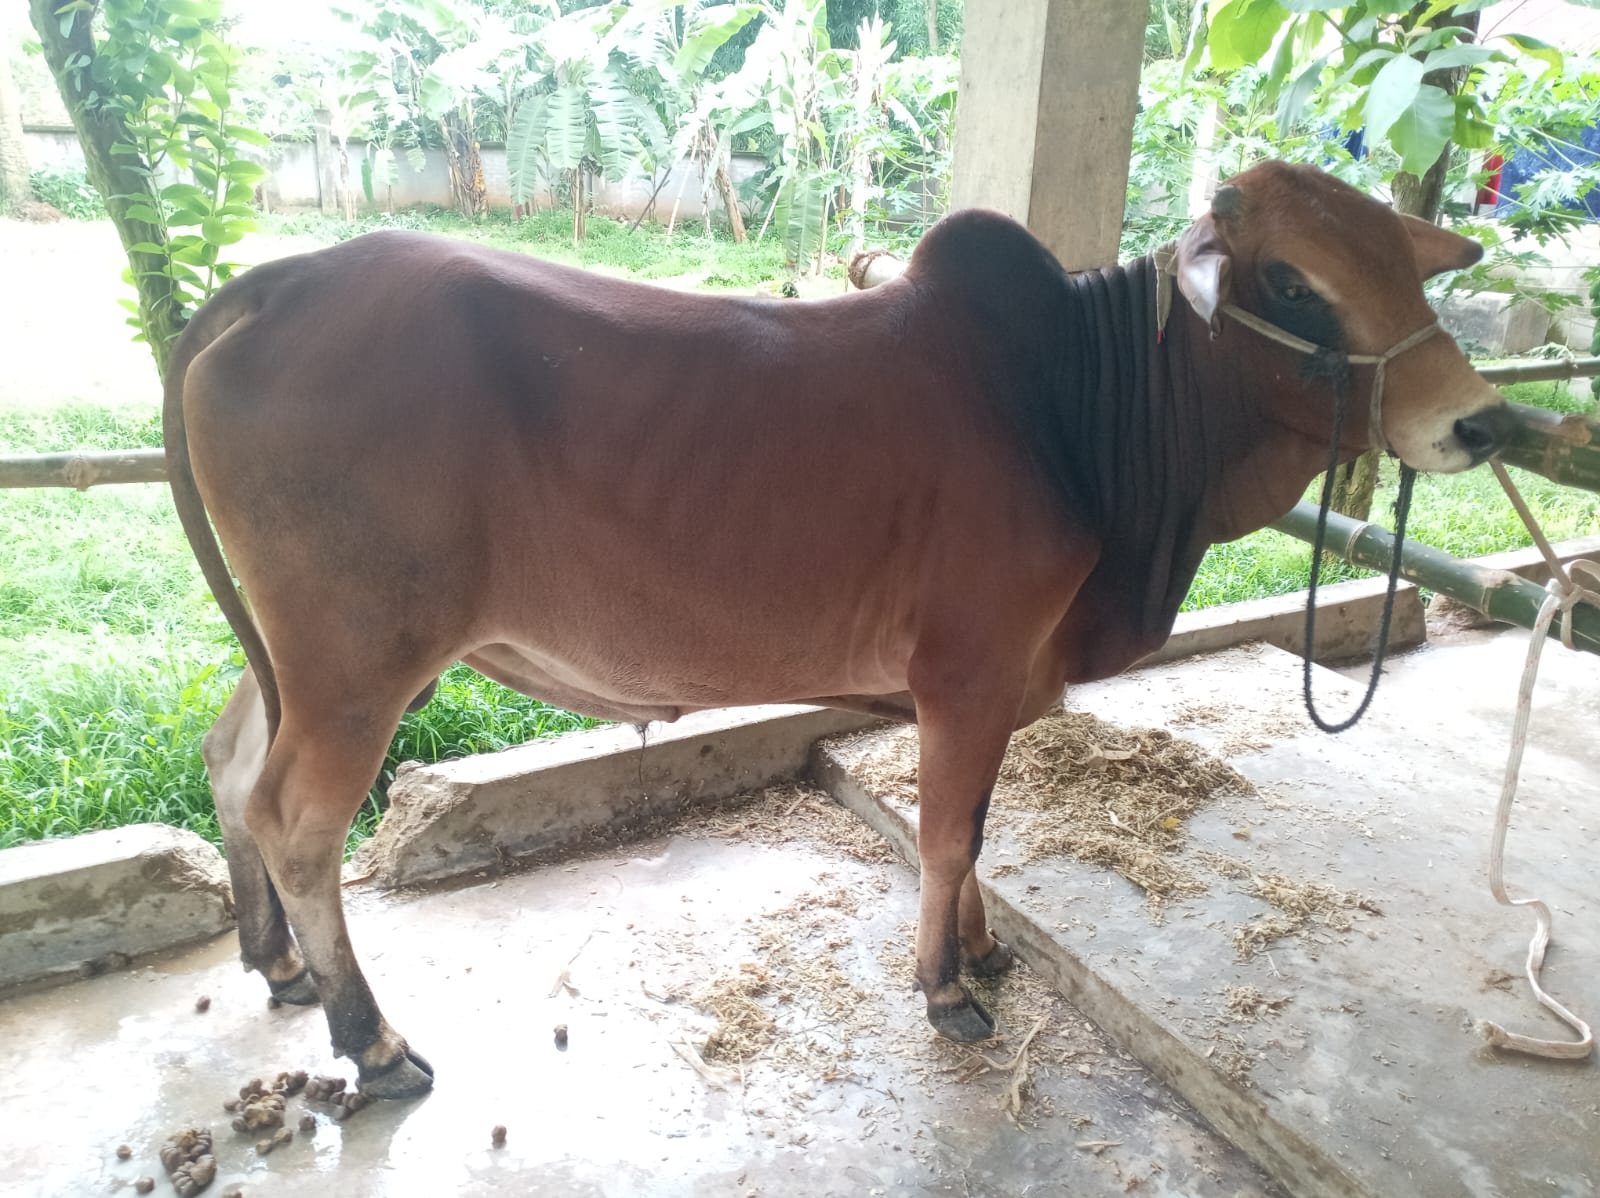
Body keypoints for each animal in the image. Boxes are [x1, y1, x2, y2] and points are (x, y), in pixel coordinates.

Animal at [166, 161, 1513, 1099]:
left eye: (1408, 270)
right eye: (1294, 284)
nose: (1478, 420)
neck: (1087, 408)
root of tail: (277, 282)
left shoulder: (1003, 682)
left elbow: (977, 836)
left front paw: (982, 952)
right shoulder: (968, 671)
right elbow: (946, 836)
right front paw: (943, 988)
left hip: (295, 655)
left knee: (232, 764)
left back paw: (277, 964)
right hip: (358, 660)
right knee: (298, 820)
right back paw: (372, 1038)